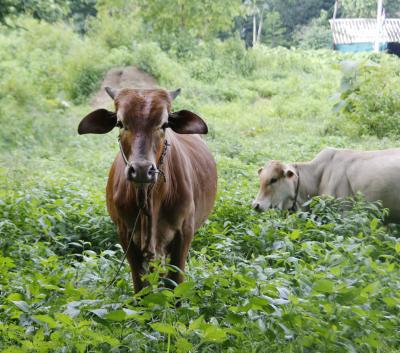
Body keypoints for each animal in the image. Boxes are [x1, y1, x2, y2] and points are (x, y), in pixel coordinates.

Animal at [77, 86, 216, 290]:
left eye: (164, 124)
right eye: (120, 123)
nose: (142, 170)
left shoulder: (184, 234)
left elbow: (174, 283)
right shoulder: (125, 235)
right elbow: (140, 285)